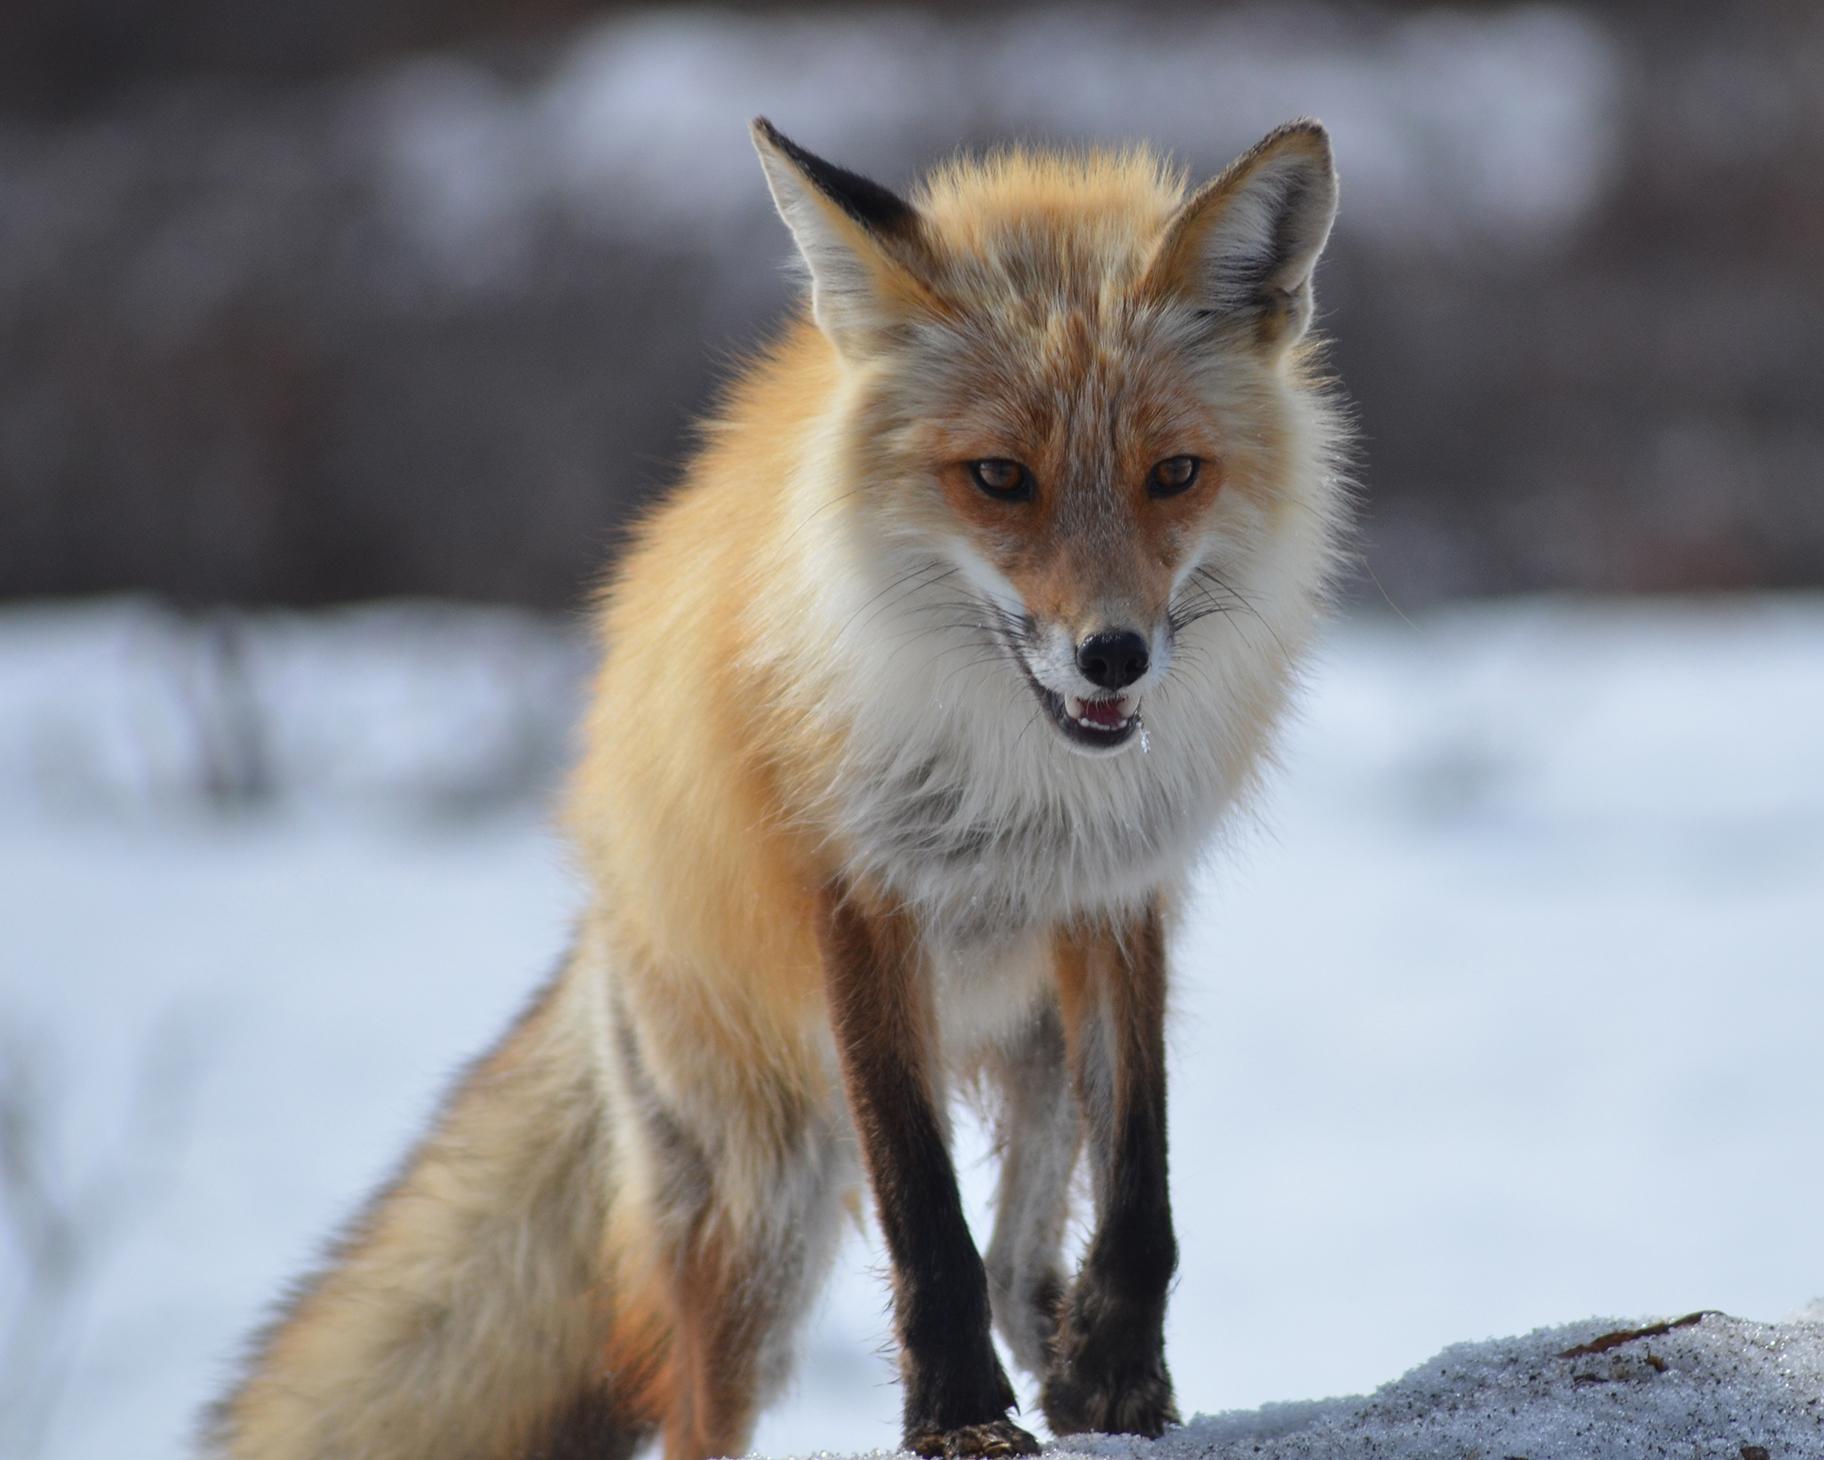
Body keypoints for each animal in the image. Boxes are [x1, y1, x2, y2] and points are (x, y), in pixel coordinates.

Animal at [207, 116, 1349, 1460]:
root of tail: (608, 915)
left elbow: (1140, 1186)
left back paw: (1068, 1367)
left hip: (1034, 1057)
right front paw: (957, 1414)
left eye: (1175, 473)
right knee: (717, 1405)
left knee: (1025, 1256)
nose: (1112, 655)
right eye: (998, 478)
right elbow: (924, 1213)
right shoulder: (855, 895)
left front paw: (1118, 1369)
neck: (1023, 792)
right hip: (762, 1208)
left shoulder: (1119, 896)